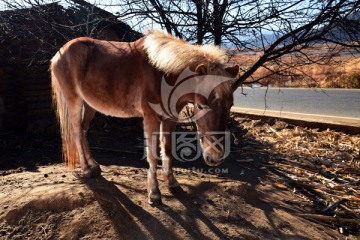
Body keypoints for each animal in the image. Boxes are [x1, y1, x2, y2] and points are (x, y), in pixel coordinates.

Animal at [50, 29, 240, 204]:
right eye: (200, 106)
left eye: (230, 104)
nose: (215, 157)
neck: (163, 73)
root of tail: (59, 54)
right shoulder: (151, 118)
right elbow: (153, 155)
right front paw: (154, 193)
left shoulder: (170, 118)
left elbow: (167, 150)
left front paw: (172, 183)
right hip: (74, 102)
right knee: (76, 132)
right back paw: (86, 170)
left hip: (89, 105)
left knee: (83, 131)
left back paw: (94, 165)